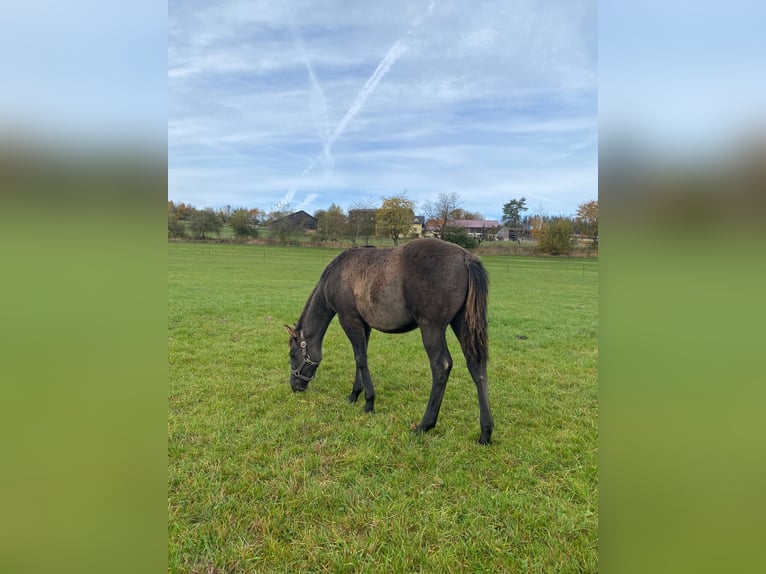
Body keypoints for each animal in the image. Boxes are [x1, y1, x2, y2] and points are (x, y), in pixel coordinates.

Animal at [284, 238, 496, 446]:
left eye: (292, 355)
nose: (294, 386)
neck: (337, 275)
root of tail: (465, 257)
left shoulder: (349, 319)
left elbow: (360, 358)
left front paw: (369, 402)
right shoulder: (364, 324)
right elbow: (360, 357)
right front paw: (354, 395)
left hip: (431, 327)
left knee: (441, 366)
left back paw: (424, 425)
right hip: (462, 324)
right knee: (476, 366)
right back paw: (485, 432)